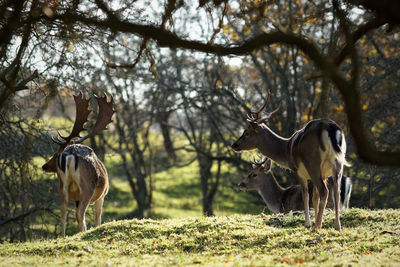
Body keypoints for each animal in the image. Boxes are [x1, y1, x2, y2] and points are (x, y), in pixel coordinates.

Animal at [41, 92, 114, 239]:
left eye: (55, 154)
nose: (44, 166)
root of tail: (70, 155)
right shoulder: (102, 195)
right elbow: (98, 218)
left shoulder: (76, 199)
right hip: (87, 187)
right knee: (80, 213)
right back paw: (83, 233)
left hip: (62, 185)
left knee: (63, 212)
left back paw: (63, 237)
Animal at [231, 95, 350, 231]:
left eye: (246, 132)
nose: (234, 144)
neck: (287, 149)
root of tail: (331, 129)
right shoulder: (323, 173)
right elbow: (314, 197)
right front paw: (314, 220)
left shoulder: (298, 170)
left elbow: (305, 195)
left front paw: (308, 224)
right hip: (338, 163)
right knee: (336, 192)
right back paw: (337, 226)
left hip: (313, 162)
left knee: (324, 191)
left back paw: (317, 227)